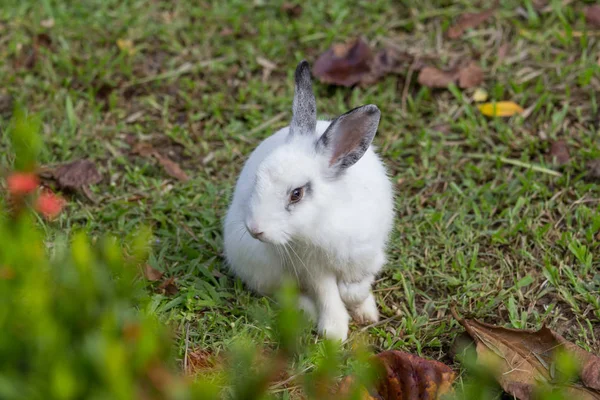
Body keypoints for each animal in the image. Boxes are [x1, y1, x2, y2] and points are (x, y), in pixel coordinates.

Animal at [223, 59, 396, 340]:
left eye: (297, 194)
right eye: (257, 178)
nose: (255, 230)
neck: (324, 219)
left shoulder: (368, 254)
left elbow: (357, 286)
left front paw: (363, 310)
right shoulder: (314, 268)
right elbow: (327, 294)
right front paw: (334, 332)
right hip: (263, 268)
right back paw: (309, 312)